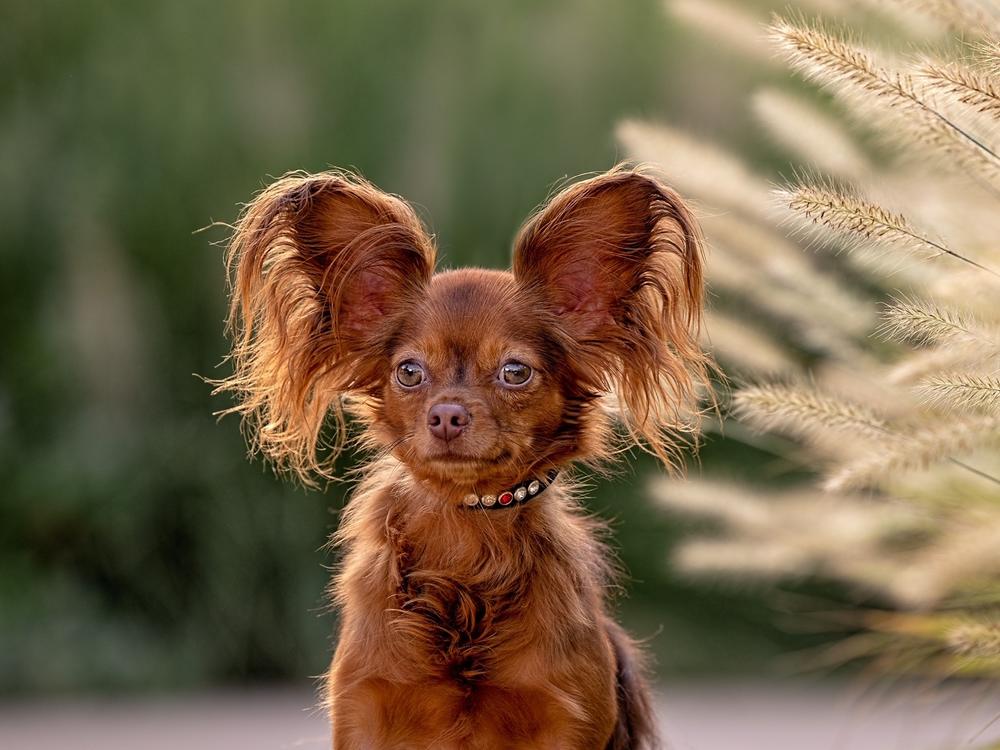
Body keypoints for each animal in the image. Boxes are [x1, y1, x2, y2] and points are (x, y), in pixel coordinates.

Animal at [216, 167, 708, 748]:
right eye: (409, 372)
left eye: (515, 372)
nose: (447, 415)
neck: (467, 535)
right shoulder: (365, 710)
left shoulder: (566, 716)